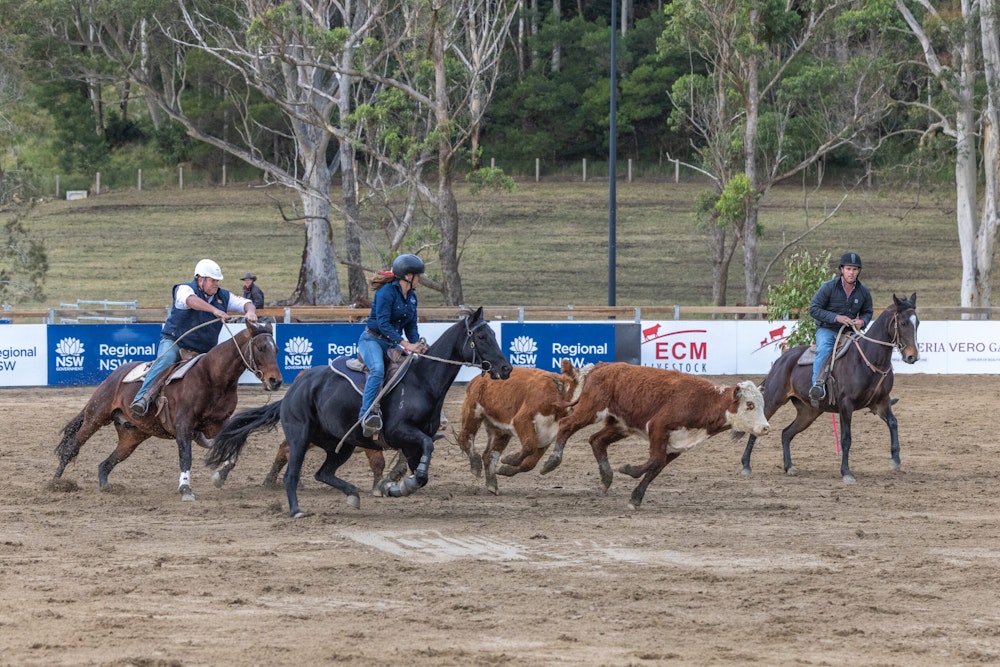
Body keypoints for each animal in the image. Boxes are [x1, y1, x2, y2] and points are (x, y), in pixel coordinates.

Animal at [53, 320, 282, 500]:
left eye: (277, 350)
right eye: (261, 347)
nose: (276, 381)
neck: (212, 376)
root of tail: (115, 375)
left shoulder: (219, 423)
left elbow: (233, 447)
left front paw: (220, 476)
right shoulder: (183, 425)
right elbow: (185, 456)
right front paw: (185, 488)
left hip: (132, 436)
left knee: (105, 464)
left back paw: (106, 489)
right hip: (96, 416)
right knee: (72, 446)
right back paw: (54, 483)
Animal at [206, 306, 512, 520]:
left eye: (494, 335)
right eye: (481, 336)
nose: (506, 368)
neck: (422, 380)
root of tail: (293, 391)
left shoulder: (412, 443)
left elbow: (420, 473)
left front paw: (396, 487)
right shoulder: (402, 433)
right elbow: (425, 452)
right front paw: (396, 485)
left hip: (340, 445)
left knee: (323, 473)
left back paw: (352, 494)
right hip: (300, 436)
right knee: (291, 475)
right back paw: (296, 510)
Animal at [458, 360, 588, 496]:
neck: (556, 395)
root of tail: (478, 379)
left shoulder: (547, 437)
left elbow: (530, 463)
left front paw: (506, 469)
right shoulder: (522, 419)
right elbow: (529, 447)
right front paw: (509, 459)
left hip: (500, 430)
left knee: (490, 455)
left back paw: (492, 485)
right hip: (473, 412)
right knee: (465, 437)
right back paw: (475, 465)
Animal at [540, 362, 764, 508]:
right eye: (749, 405)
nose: (765, 427)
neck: (704, 401)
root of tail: (602, 366)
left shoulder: (677, 445)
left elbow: (657, 466)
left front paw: (636, 497)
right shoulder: (658, 427)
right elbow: (655, 461)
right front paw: (628, 469)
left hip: (620, 424)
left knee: (596, 440)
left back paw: (606, 478)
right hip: (591, 410)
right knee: (567, 425)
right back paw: (551, 462)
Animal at [740, 294, 916, 482]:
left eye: (917, 322)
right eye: (903, 322)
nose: (912, 356)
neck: (868, 360)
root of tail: (781, 361)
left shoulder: (881, 402)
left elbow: (893, 423)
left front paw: (896, 461)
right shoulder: (846, 405)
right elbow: (846, 438)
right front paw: (846, 472)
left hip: (809, 412)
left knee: (786, 433)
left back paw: (789, 466)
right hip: (773, 400)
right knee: (758, 429)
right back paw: (746, 465)